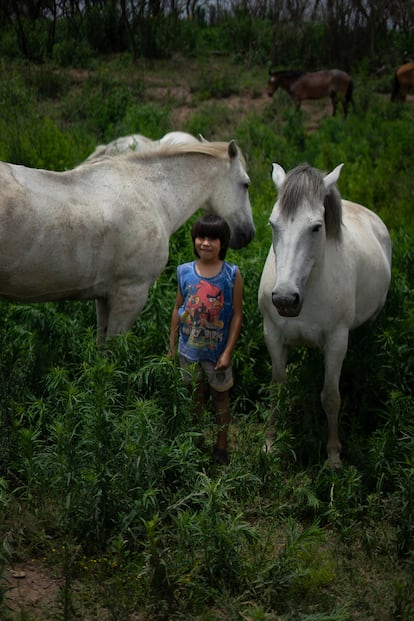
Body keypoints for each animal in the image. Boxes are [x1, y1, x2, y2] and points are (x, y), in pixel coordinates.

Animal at [258, 161, 392, 464]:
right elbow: (277, 389)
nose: (285, 299)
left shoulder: (336, 341)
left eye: (316, 228)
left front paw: (333, 456)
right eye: (273, 224)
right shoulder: (272, 335)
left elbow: (331, 397)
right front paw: (270, 444)